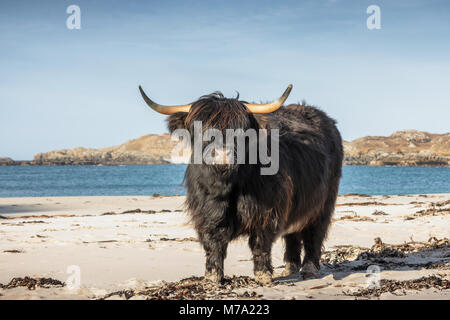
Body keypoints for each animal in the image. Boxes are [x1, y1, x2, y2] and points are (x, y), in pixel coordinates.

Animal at [139, 84, 342, 282]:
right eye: (200, 129)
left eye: (241, 130)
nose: (221, 154)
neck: (226, 186)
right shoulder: (206, 213)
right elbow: (213, 242)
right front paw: (212, 276)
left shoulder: (267, 211)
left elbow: (260, 242)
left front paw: (263, 275)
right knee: (292, 235)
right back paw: (290, 268)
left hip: (324, 202)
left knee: (314, 233)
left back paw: (309, 269)